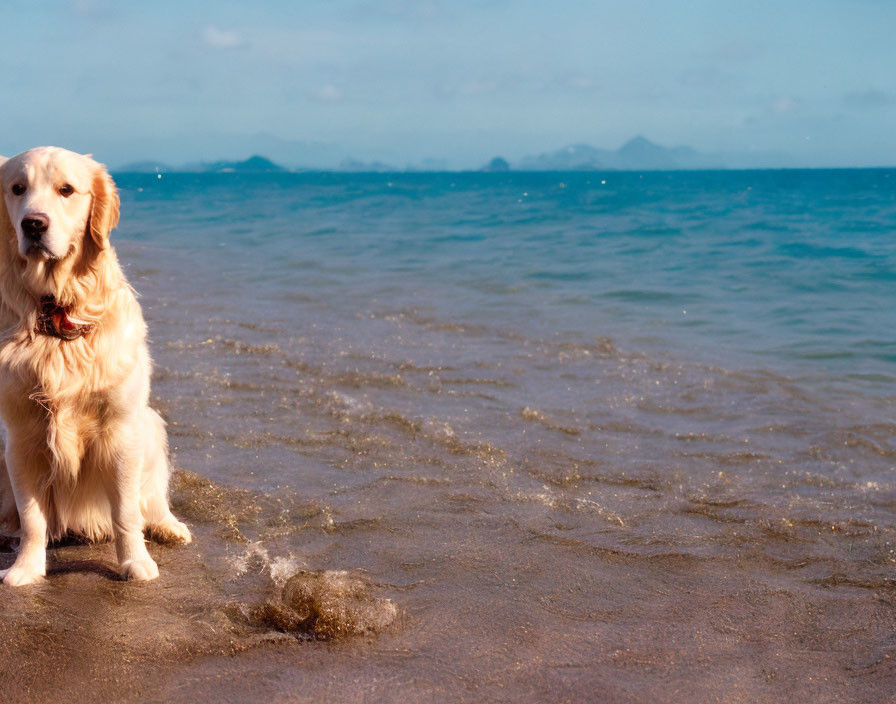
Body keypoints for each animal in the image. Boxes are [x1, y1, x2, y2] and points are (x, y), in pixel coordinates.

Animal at [0, 146, 191, 584]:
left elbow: (125, 512)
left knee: (152, 500)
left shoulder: (119, 430)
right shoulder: (20, 436)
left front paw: (136, 563)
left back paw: (170, 526)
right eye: (17, 189)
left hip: (149, 425)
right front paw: (26, 569)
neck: (56, 316)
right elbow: (32, 516)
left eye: (66, 190)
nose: (33, 224)